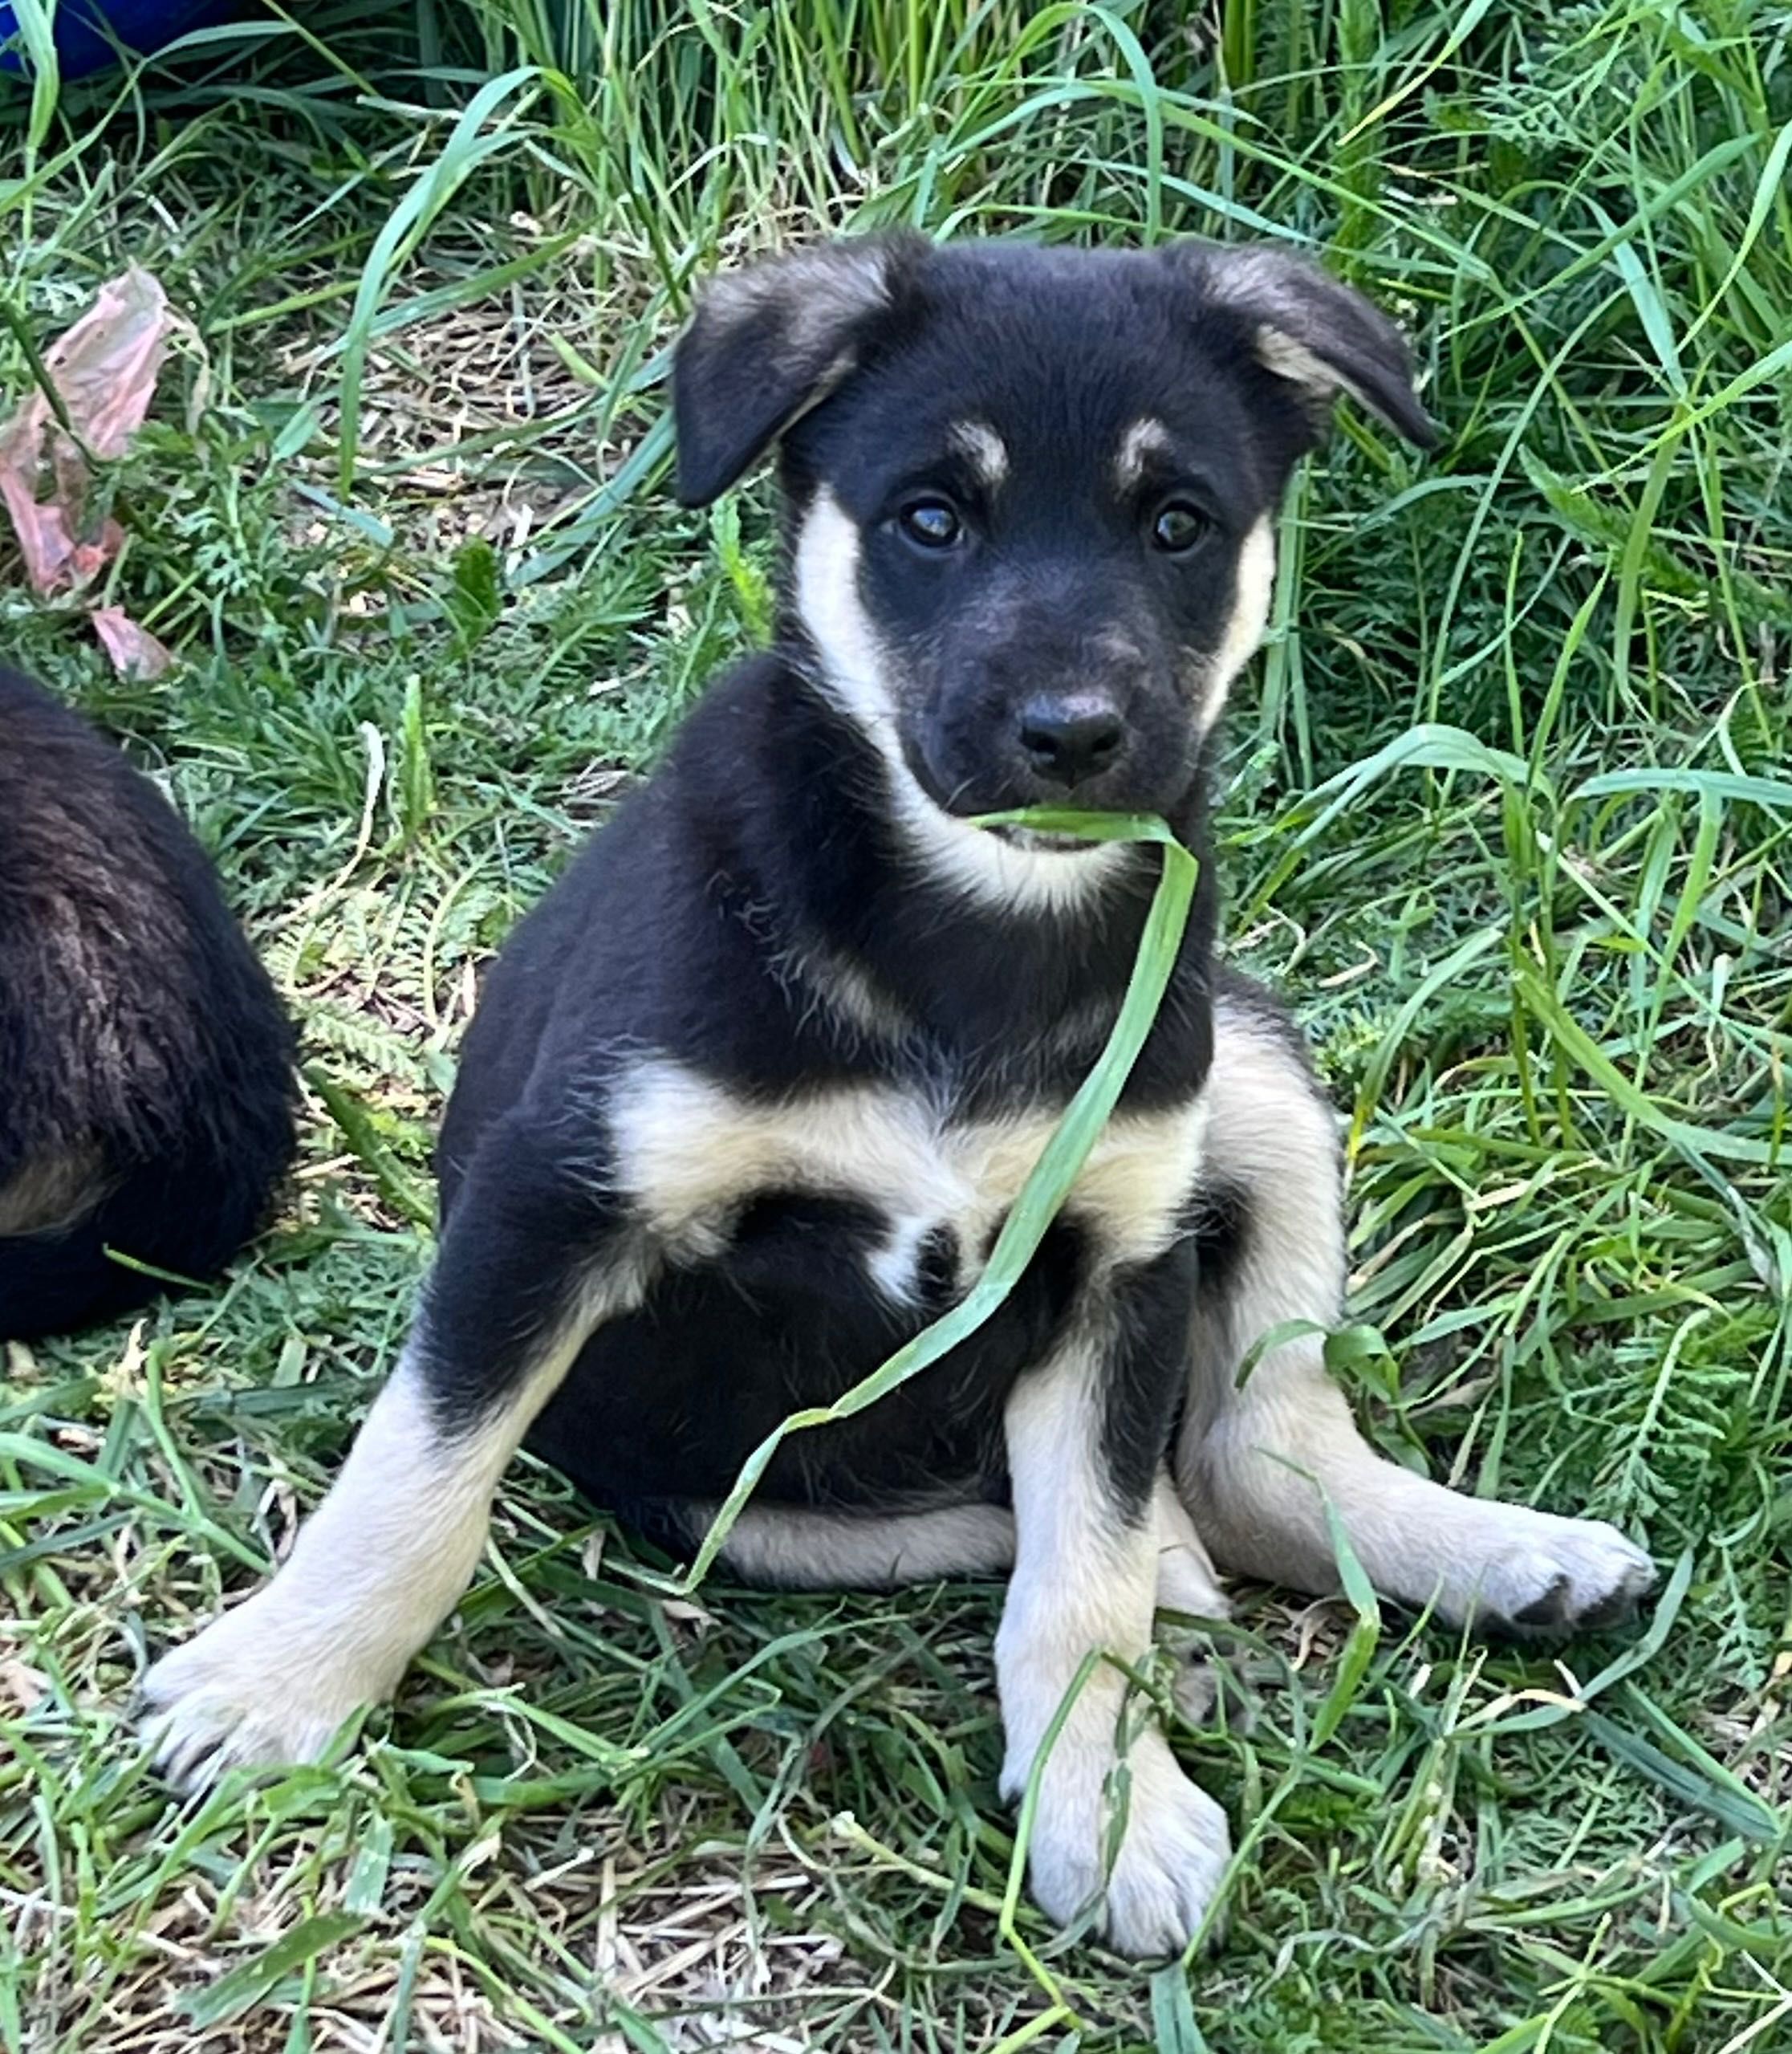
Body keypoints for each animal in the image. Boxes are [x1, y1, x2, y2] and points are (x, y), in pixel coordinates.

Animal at [146, 240, 1658, 1955]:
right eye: (929, 518)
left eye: (1178, 522)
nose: (1072, 734)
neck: (964, 931)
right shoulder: (557, 1195)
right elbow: (414, 1473)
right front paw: (278, 1684)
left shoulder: (1117, 1255)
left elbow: (1083, 1571)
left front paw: (1104, 1807)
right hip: (728, 1490)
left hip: (1251, 1064)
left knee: (1237, 1448)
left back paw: (1495, 1556)